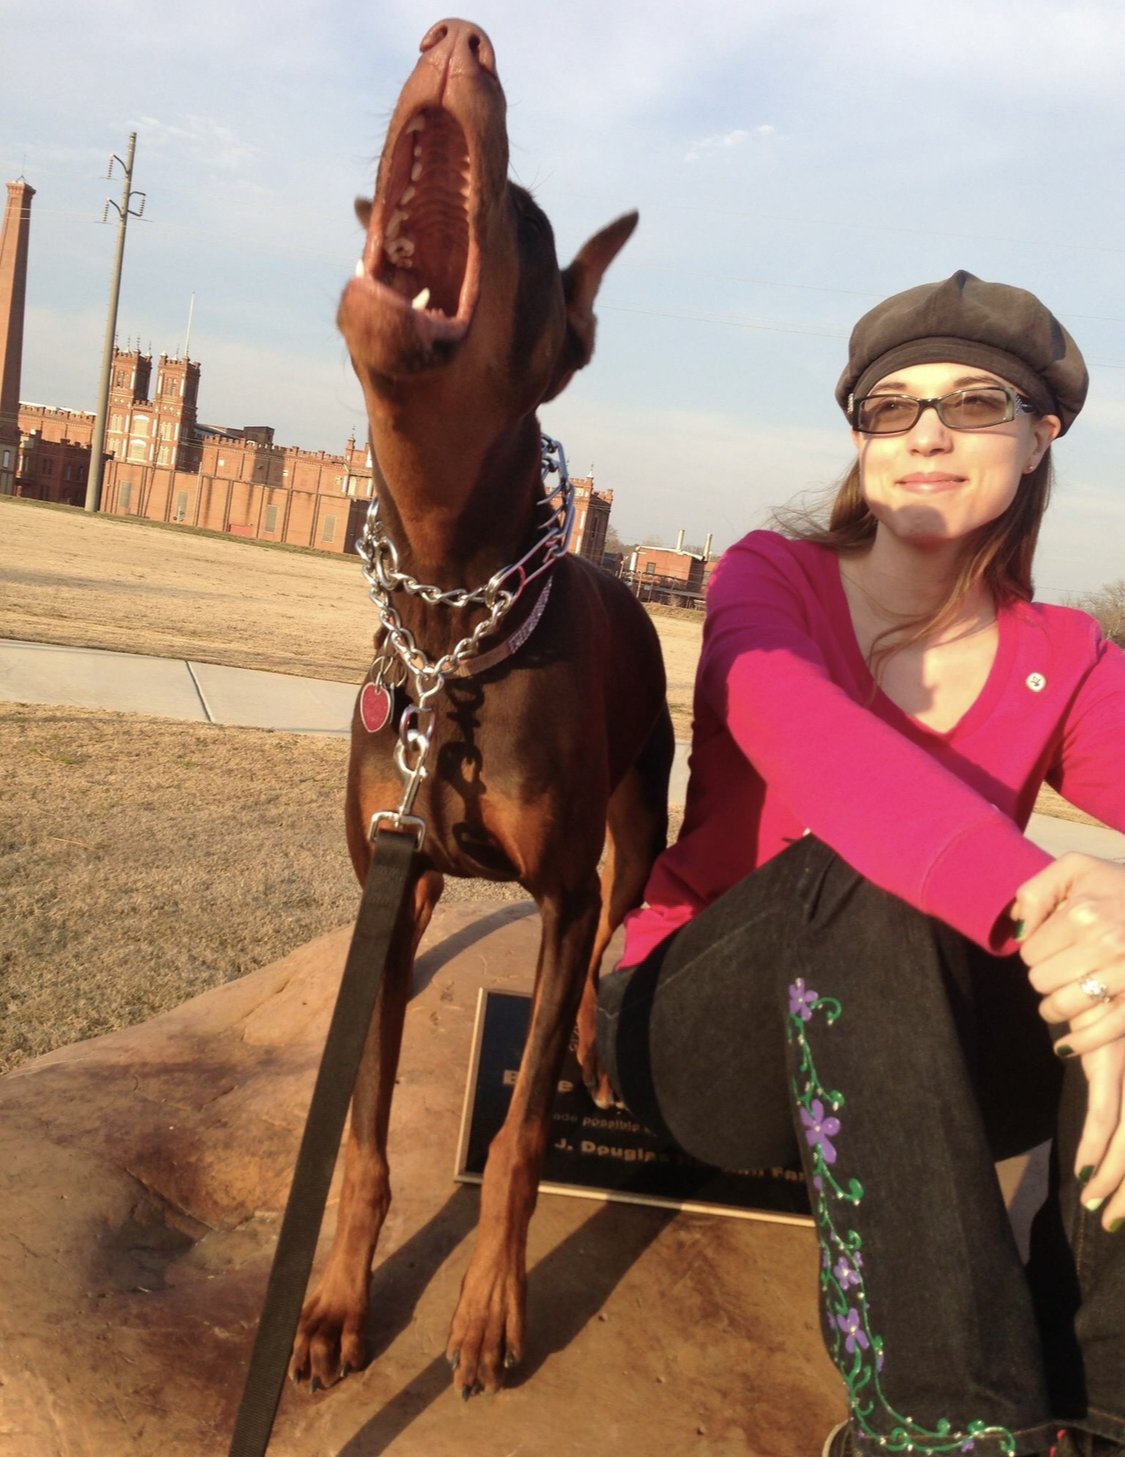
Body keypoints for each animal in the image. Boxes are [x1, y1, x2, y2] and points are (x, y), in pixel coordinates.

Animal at [287, 17, 673, 1399]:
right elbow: (361, 1130)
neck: (453, 622)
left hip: (639, 814)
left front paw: (490, 1308)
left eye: (534, 224)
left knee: (611, 935)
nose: (459, 37)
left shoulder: (553, 890)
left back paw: (589, 1056)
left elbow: (513, 1141)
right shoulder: (389, 889)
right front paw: (337, 1300)